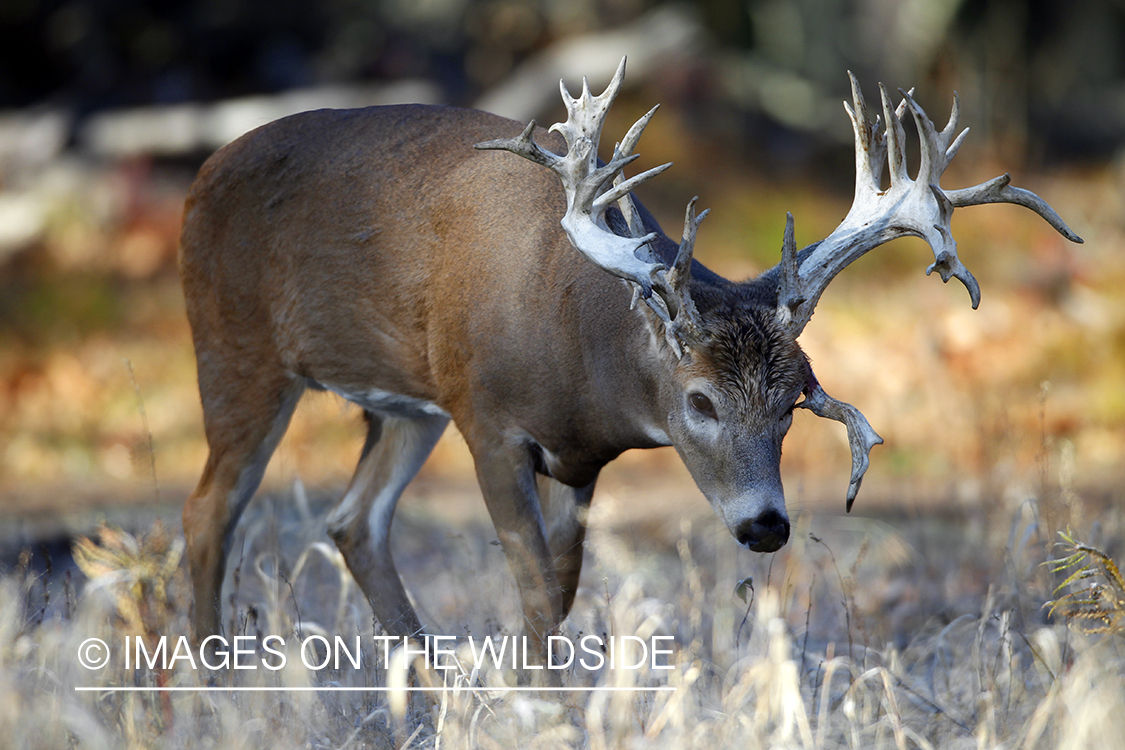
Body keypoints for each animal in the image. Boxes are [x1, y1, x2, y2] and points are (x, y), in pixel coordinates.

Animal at [182, 58, 1080, 661]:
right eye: (699, 402)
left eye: (793, 402)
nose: (765, 525)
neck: (578, 345)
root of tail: (202, 172)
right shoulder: (487, 419)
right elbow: (534, 591)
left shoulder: (576, 459)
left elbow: (560, 592)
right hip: (236, 353)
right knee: (208, 512)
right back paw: (210, 684)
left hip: (402, 405)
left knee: (353, 519)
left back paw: (428, 683)